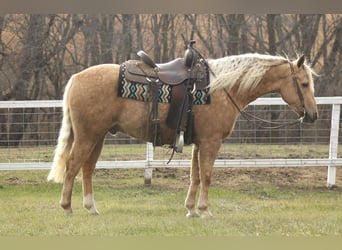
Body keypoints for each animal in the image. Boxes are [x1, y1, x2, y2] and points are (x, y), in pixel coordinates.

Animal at [47, 52, 318, 217]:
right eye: (304, 84)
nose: (313, 115)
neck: (221, 89)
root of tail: (76, 78)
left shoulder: (199, 143)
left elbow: (195, 176)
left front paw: (191, 210)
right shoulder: (211, 143)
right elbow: (207, 176)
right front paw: (205, 210)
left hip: (98, 136)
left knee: (87, 169)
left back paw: (91, 207)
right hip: (88, 136)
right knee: (73, 166)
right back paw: (67, 207)